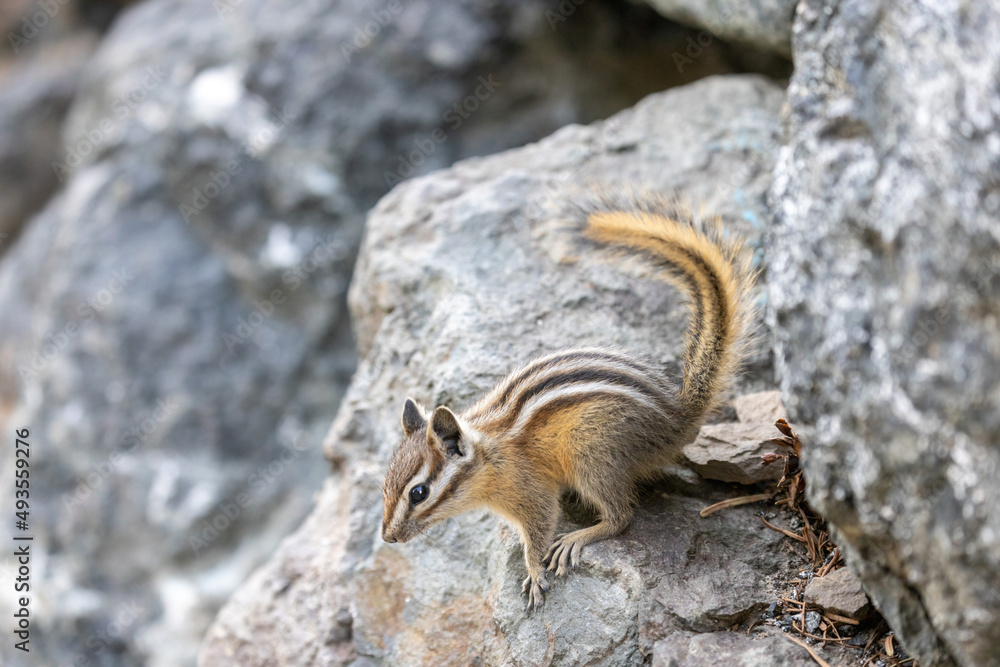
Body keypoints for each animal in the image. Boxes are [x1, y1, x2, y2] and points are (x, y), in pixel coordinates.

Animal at [380, 196, 758, 610]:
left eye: (418, 493)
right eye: (384, 484)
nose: (387, 538)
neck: (488, 457)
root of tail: (678, 416)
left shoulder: (532, 493)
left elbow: (541, 529)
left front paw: (532, 572)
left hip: (591, 452)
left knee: (622, 517)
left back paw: (578, 538)